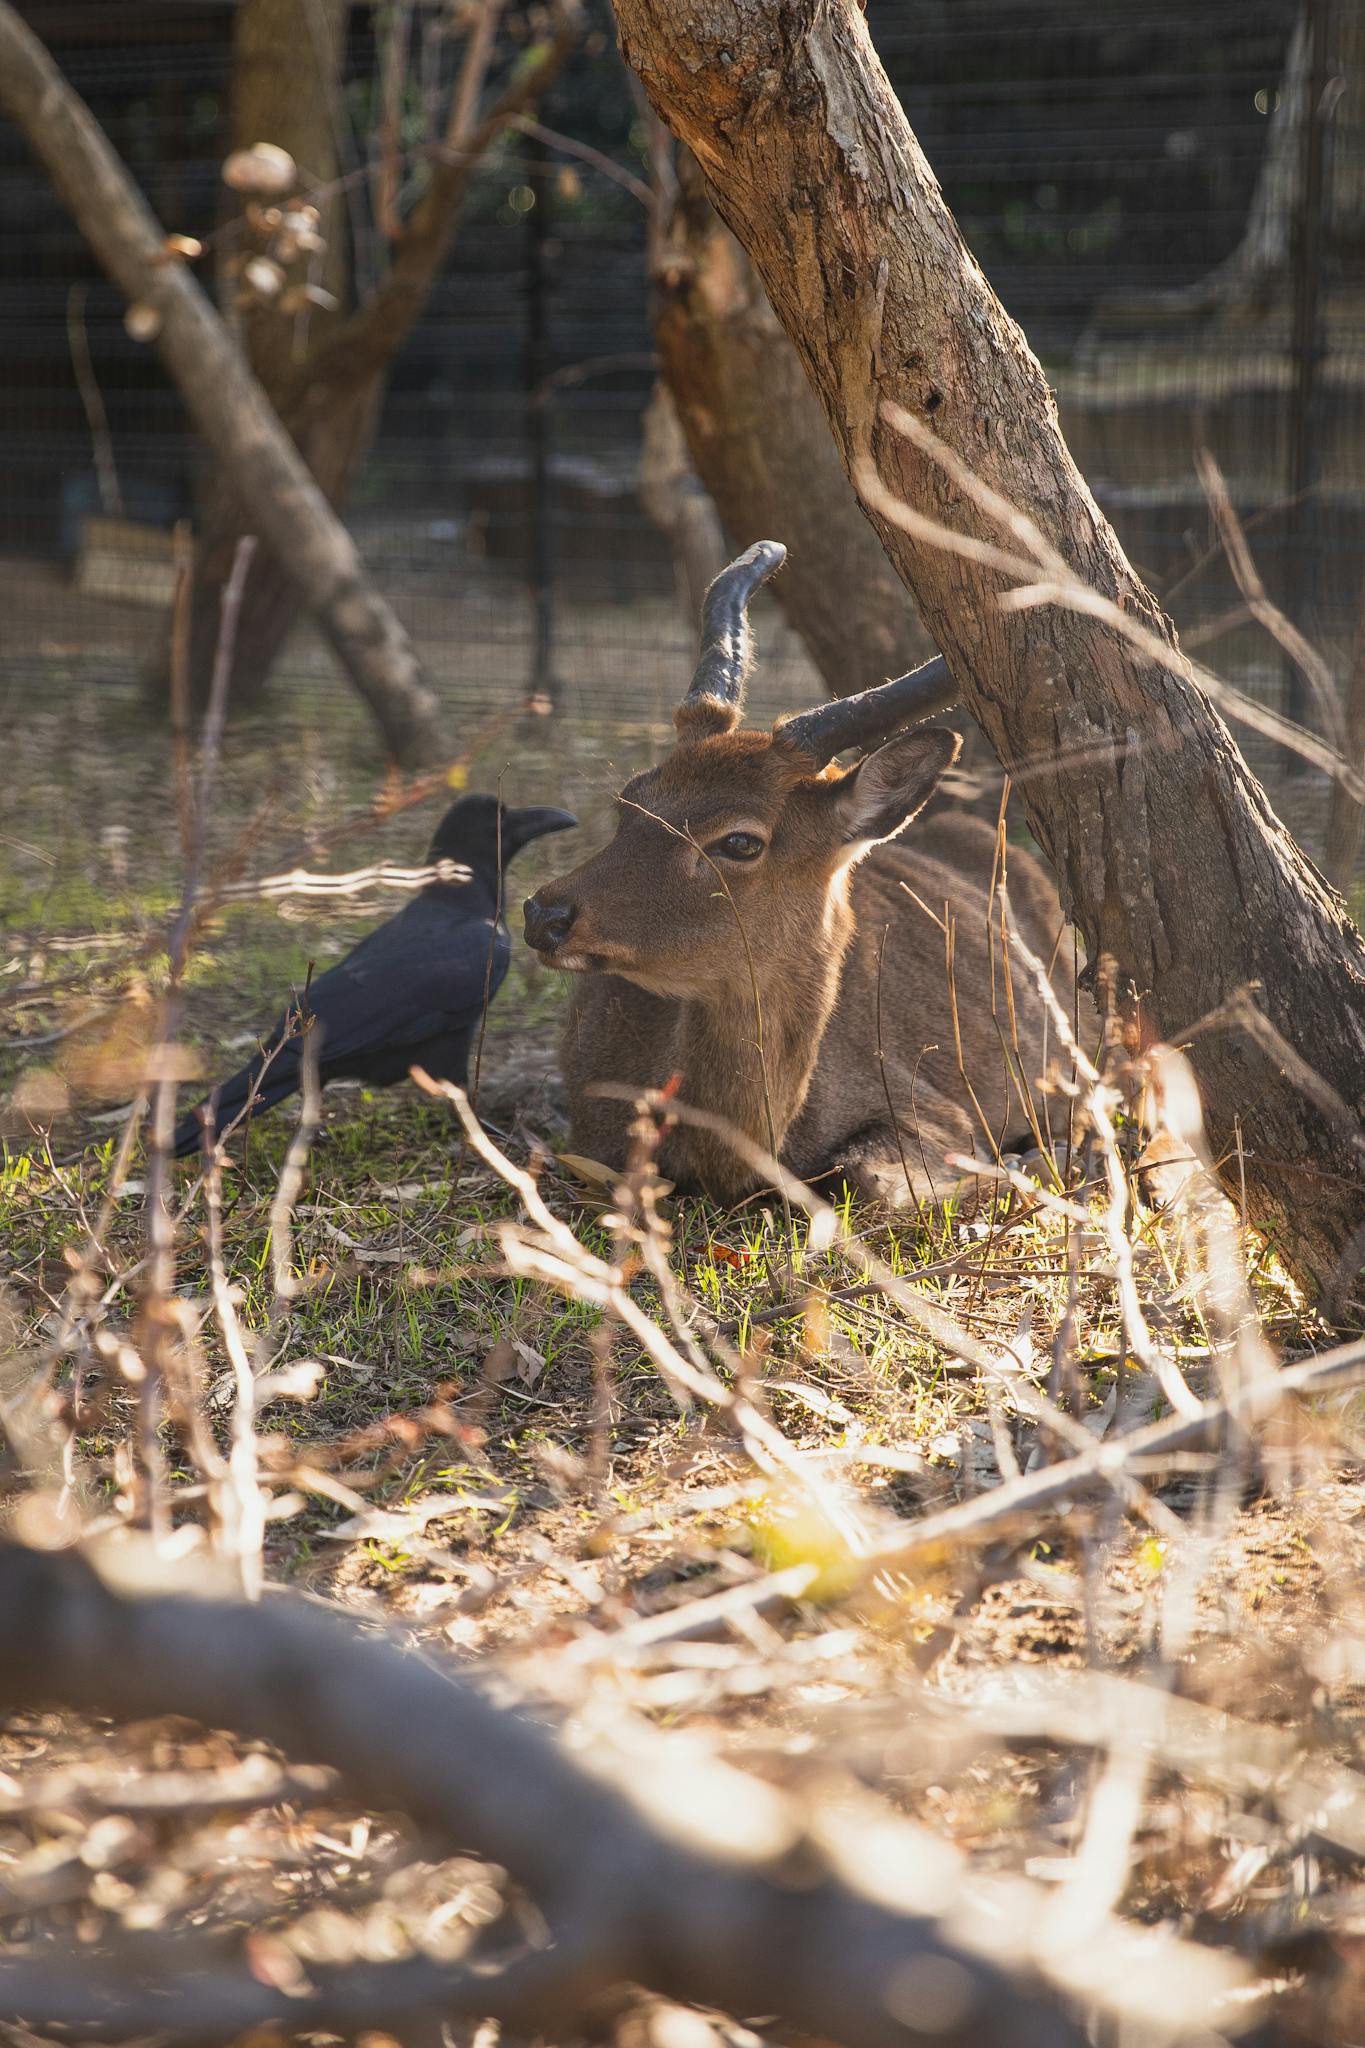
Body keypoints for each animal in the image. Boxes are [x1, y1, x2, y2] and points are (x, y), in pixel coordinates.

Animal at [523, 541, 1088, 1207]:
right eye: (630, 798)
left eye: (741, 840)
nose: (545, 913)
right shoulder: (590, 1134)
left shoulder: (935, 1109)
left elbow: (867, 1176)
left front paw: (1028, 1165)